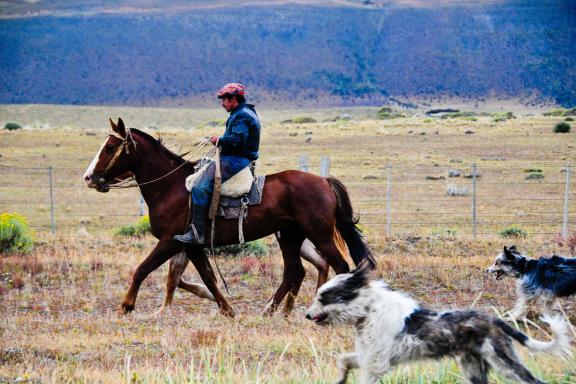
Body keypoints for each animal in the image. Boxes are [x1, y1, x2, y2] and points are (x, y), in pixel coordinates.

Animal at [84, 118, 374, 316]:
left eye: (110, 147)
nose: (89, 177)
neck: (171, 187)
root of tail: (324, 181)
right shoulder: (192, 245)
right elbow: (206, 277)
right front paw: (227, 309)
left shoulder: (171, 241)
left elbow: (143, 269)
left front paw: (126, 305)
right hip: (290, 236)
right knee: (294, 271)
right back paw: (270, 309)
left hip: (319, 236)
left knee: (340, 266)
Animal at [306, 262, 572, 382]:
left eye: (323, 297)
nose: (307, 315)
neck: (369, 310)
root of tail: (495, 320)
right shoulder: (368, 357)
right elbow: (344, 361)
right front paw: (340, 378)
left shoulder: (376, 364)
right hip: (474, 368)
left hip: (504, 362)